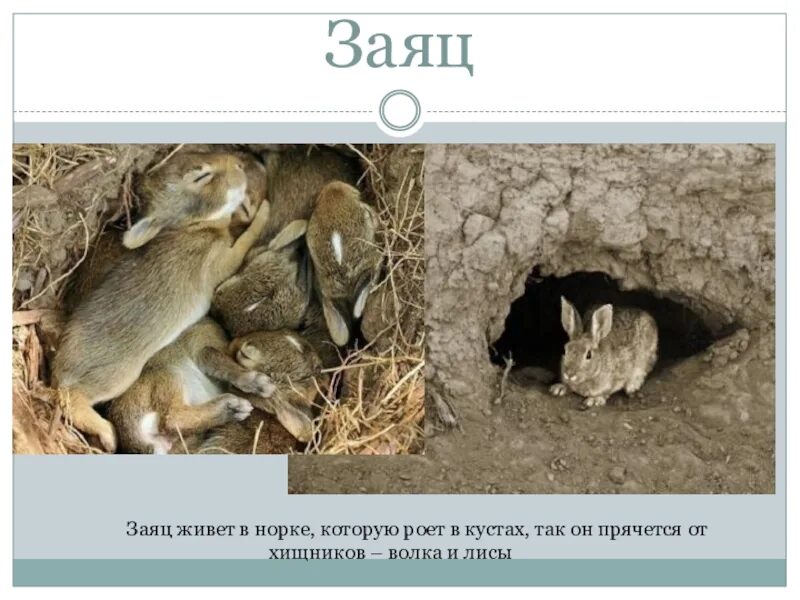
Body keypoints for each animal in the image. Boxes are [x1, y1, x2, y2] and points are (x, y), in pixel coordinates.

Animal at [107, 317, 276, 454]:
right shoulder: (204, 351)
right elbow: (225, 365)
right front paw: (258, 382)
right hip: (170, 373)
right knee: (171, 418)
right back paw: (232, 407)